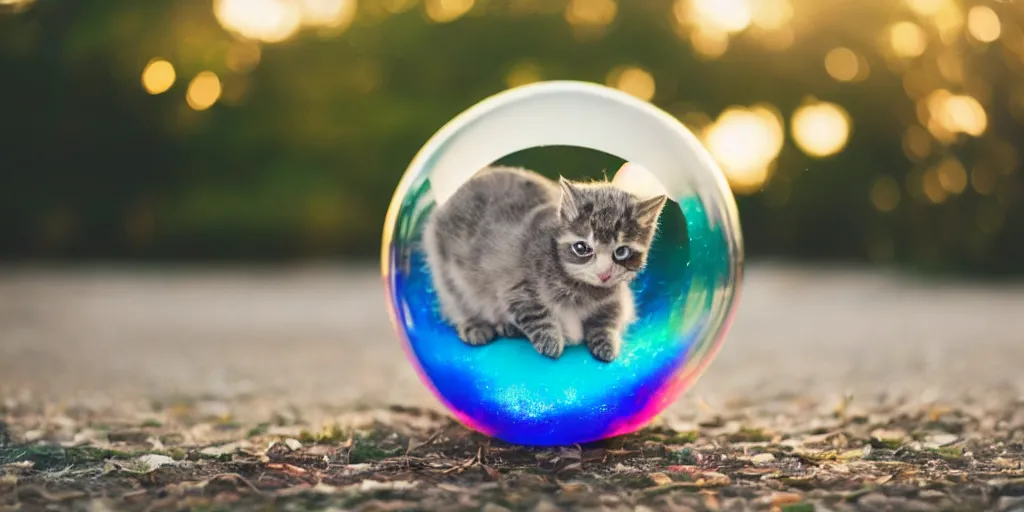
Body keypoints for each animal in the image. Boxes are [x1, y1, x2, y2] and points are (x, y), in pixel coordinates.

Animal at [419, 165, 667, 362]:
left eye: (621, 251)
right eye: (582, 248)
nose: (604, 273)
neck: (582, 290)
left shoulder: (617, 297)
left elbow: (609, 319)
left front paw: (607, 343)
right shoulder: (515, 290)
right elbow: (537, 315)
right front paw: (552, 342)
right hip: (447, 273)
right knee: (456, 302)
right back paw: (475, 326)